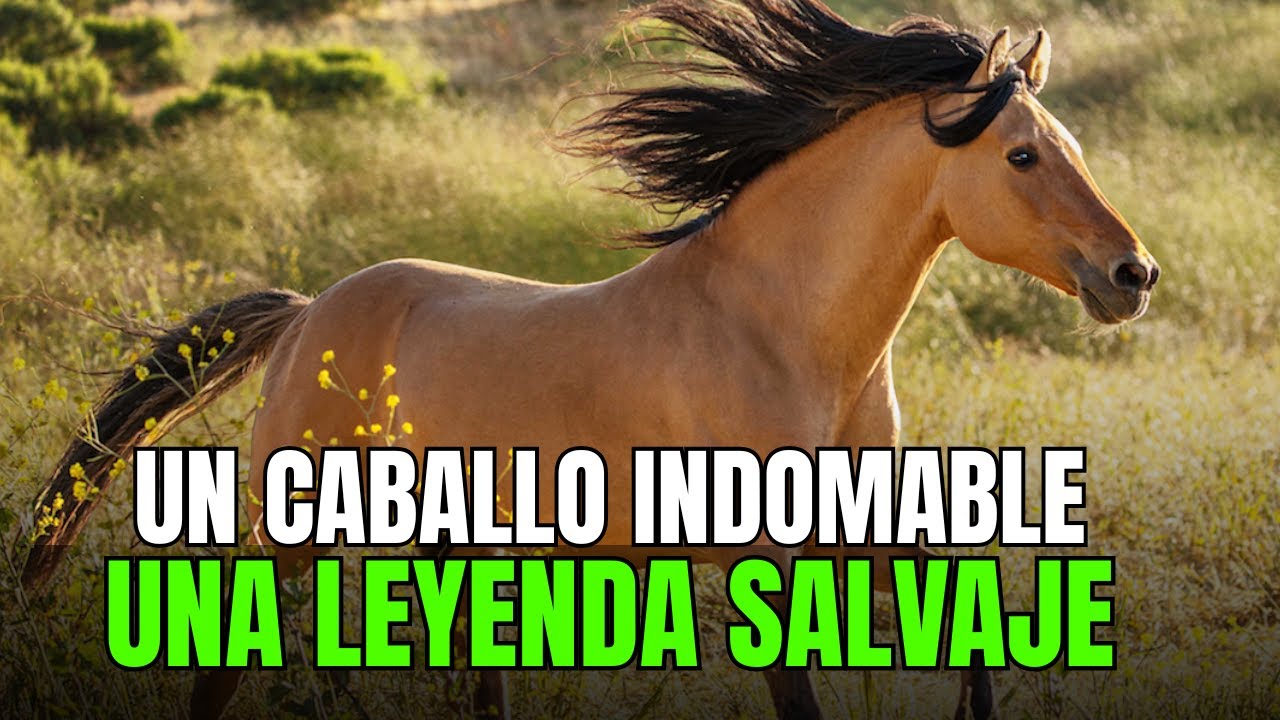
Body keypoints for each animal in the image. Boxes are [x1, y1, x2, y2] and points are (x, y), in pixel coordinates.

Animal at [21, 1, 1158, 718]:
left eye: (1071, 146)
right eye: (1020, 155)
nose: (1131, 274)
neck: (783, 329)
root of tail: (309, 313)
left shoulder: (874, 531)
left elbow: (976, 655)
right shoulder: (760, 555)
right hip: (290, 527)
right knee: (224, 668)